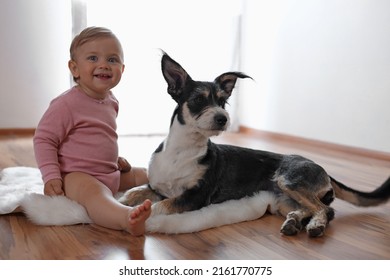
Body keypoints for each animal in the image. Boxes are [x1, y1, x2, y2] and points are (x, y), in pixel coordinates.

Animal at [120, 52, 388, 236]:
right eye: (198, 99)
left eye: (223, 102)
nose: (223, 118)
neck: (181, 151)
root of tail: (324, 170)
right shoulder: (156, 186)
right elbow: (134, 191)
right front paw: (122, 201)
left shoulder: (194, 197)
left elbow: (159, 206)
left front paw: (135, 215)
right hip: (282, 198)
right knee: (310, 208)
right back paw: (294, 222)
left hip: (290, 180)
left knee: (326, 210)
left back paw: (315, 226)